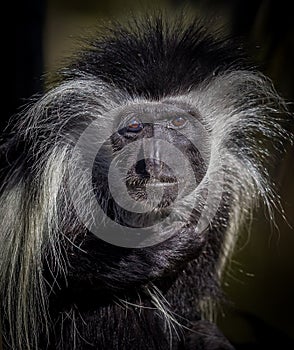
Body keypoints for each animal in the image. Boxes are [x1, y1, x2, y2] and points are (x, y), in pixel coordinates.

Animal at [0, 13, 290, 350]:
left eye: (178, 121)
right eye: (135, 126)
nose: (156, 160)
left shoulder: (222, 194)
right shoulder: (60, 179)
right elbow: (55, 273)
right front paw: (159, 249)